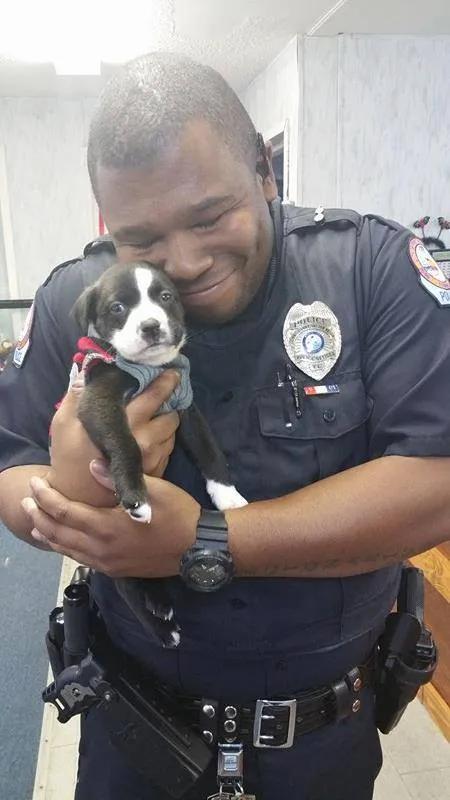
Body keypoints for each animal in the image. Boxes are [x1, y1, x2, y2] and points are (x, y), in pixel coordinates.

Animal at [71, 260, 246, 648]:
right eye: (117, 308)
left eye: (165, 297)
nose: (151, 326)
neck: (151, 368)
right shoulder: (99, 401)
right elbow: (126, 442)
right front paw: (136, 495)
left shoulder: (185, 404)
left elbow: (209, 450)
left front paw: (228, 496)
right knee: (126, 588)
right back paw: (161, 629)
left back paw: (160, 600)